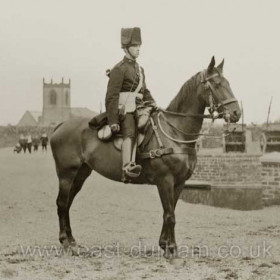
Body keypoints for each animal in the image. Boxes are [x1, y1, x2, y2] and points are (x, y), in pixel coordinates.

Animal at [50, 57, 241, 258]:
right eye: (217, 84)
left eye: (227, 82)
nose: (237, 113)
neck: (175, 132)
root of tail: (60, 125)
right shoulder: (165, 180)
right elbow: (170, 215)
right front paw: (171, 249)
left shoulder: (179, 182)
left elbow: (170, 211)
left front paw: (165, 244)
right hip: (66, 174)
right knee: (62, 203)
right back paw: (65, 242)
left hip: (81, 174)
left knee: (68, 203)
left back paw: (71, 240)